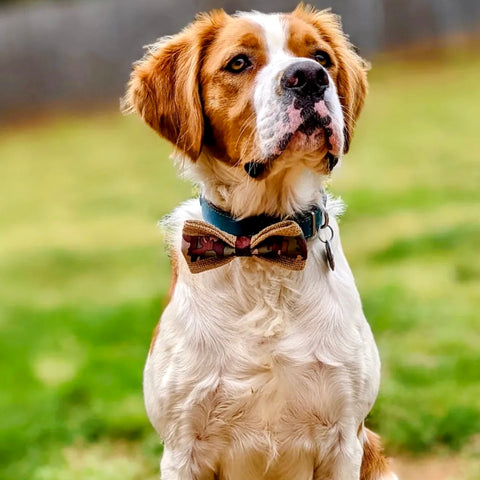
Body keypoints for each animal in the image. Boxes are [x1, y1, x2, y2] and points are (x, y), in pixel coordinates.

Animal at [124, 4, 398, 480]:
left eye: (321, 57)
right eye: (238, 63)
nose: (308, 77)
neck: (260, 244)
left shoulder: (345, 438)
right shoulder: (181, 449)